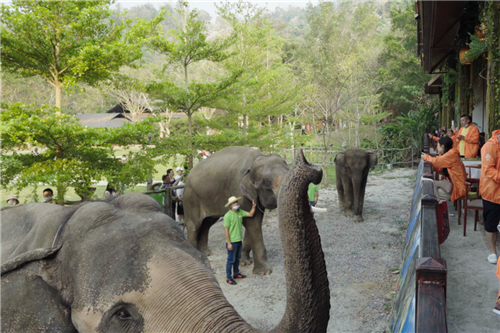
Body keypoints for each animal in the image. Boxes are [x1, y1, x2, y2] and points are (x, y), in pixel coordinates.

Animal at [1, 150, 330, 332]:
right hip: (192, 197)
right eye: (122, 316)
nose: (313, 167)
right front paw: (262, 270)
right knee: (197, 223)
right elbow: (251, 220)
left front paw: (252, 265)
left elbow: (253, 220)